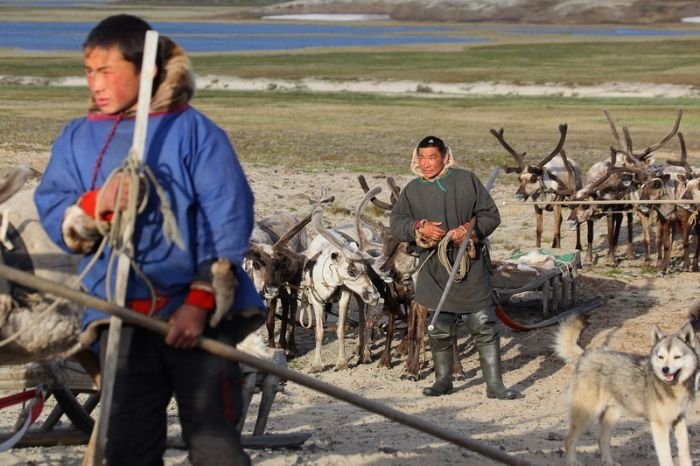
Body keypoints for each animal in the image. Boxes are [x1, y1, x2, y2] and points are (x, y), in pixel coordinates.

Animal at [556, 314, 696, 466]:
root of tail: (586, 354)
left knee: (601, 439)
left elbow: (685, 450)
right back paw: (572, 462)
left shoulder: (679, 420)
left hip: (612, 415)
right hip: (586, 415)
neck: (672, 387)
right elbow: (666, 456)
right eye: (661, 357)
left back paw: (609, 462)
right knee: (569, 439)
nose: (665, 370)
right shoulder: (659, 426)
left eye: (677, 357)